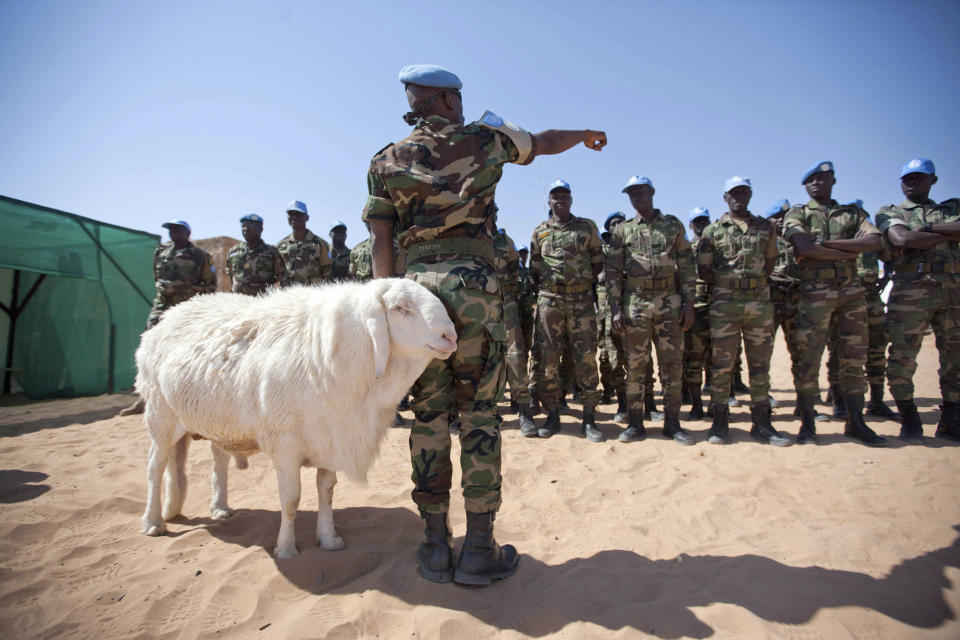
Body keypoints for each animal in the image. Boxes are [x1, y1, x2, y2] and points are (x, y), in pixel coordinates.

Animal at [134, 278, 458, 556]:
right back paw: (153, 522)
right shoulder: (285, 447)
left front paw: (329, 539)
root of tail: (167, 317)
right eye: (400, 308)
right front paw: (286, 548)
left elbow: (326, 493)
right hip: (160, 415)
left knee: (218, 459)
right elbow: (290, 501)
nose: (450, 336)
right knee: (154, 466)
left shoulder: (331, 440)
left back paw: (220, 507)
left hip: (218, 422)